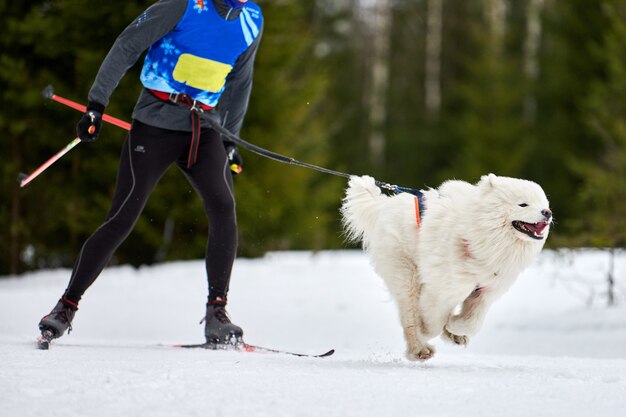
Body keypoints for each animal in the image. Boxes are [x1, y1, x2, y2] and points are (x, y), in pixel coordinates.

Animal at [342, 174, 552, 360]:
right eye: (523, 204)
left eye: (545, 204)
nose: (547, 213)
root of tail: (384, 206)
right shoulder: (442, 287)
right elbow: (433, 320)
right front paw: (430, 329)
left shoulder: (487, 289)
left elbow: (472, 322)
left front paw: (454, 328)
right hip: (406, 274)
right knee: (409, 315)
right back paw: (420, 350)